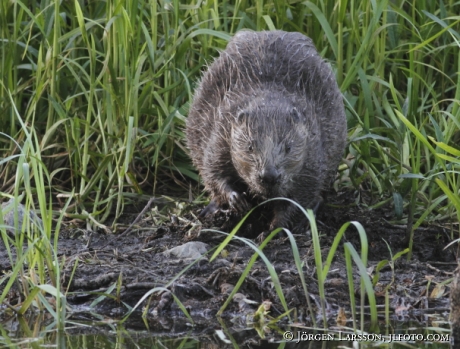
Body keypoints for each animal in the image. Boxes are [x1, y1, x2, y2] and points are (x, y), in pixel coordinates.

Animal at [185, 29, 346, 231]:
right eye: (250, 147)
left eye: (288, 147)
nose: (269, 176)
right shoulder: (221, 130)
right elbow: (213, 170)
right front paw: (237, 200)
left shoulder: (313, 154)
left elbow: (302, 195)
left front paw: (274, 228)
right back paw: (211, 210)